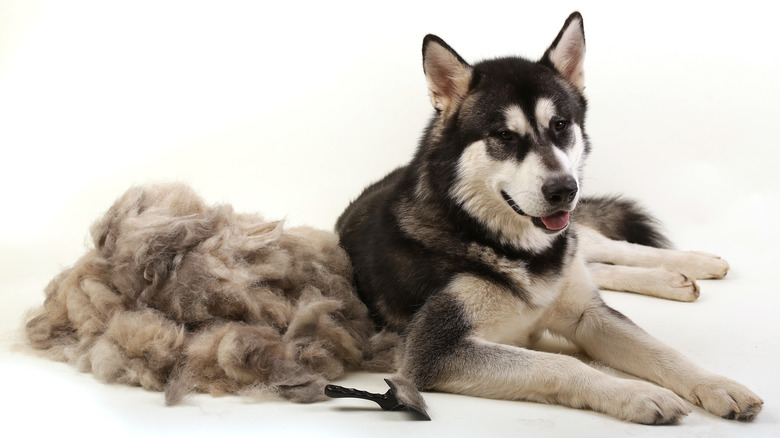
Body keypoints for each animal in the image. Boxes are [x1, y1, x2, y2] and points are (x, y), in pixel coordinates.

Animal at [336, 12, 760, 424]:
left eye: (559, 125)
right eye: (505, 136)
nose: (564, 190)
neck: (508, 246)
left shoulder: (587, 314)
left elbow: (662, 351)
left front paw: (718, 386)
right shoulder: (432, 351)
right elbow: (563, 365)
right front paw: (638, 395)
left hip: (576, 242)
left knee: (611, 247)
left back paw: (693, 264)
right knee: (598, 265)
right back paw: (672, 280)